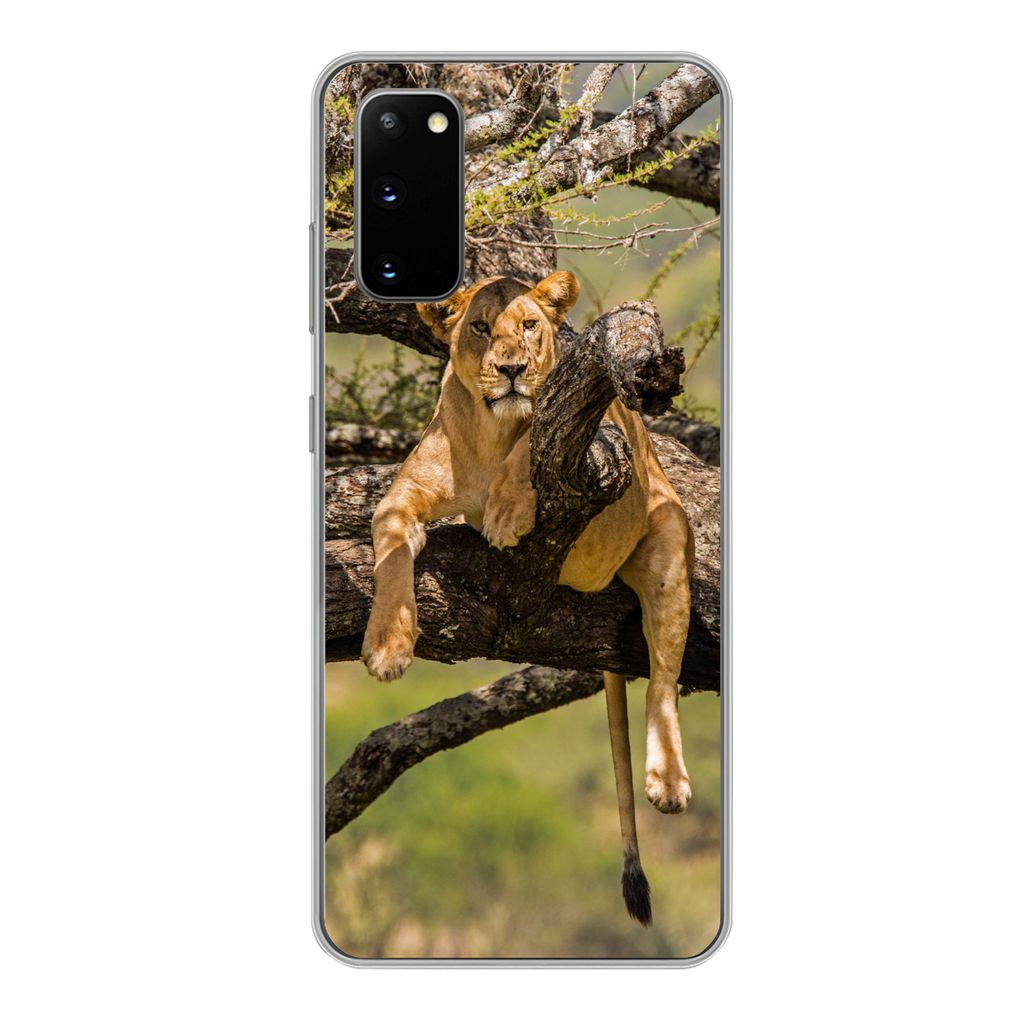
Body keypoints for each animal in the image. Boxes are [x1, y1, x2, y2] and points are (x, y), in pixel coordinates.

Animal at [360, 271, 694, 925]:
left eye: (530, 325)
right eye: (480, 327)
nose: (512, 368)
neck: (492, 433)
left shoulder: (594, 434)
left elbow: (531, 444)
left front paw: (509, 513)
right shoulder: (399, 500)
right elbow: (390, 560)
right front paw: (387, 646)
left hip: (667, 542)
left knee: (663, 681)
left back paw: (667, 779)